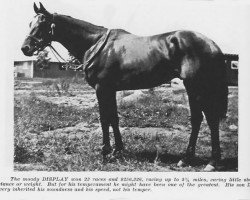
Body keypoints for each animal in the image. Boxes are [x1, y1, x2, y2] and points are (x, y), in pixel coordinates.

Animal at [21, 2, 229, 172]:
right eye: (30, 24)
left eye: (41, 24)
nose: (25, 48)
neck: (97, 45)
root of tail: (211, 44)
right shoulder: (110, 90)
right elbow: (114, 118)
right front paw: (118, 150)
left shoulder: (101, 88)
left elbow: (104, 119)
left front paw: (105, 152)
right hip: (193, 88)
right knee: (198, 119)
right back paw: (186, 159)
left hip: (197, 86)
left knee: (209, 119)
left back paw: (211, 162)